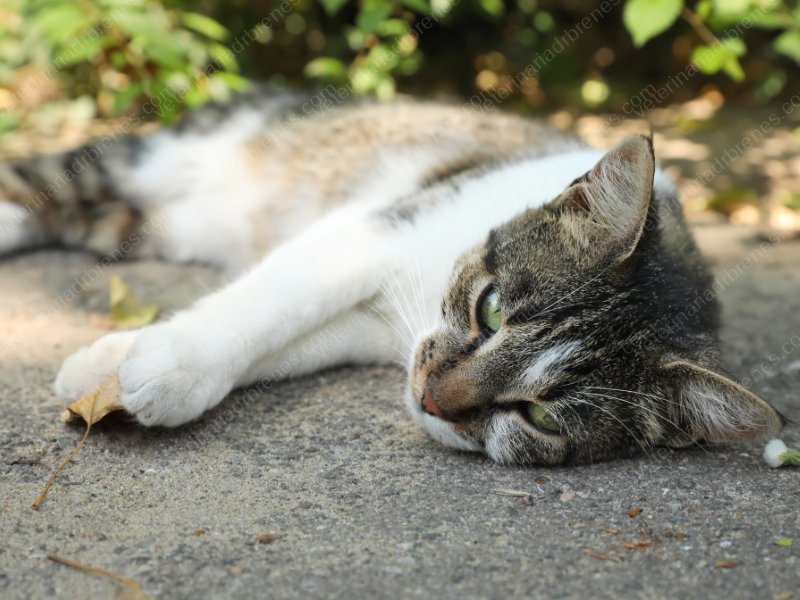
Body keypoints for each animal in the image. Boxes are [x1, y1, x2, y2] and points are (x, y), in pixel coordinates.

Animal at [0, 95, 784, 464]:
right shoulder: (370, 231)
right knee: (41, 182)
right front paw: (163, 364)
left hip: (145, 221)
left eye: (540, 417)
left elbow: (286, 341)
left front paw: (115, 364)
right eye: (491, 309)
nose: (434, 399)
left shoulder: (381, 332)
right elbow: (272, 302)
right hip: (153, 157)